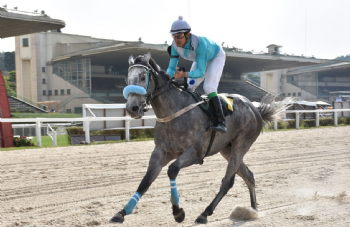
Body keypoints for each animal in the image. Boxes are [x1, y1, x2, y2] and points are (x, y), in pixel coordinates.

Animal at [110, 51, 288, 223]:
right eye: (127, 79)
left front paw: (178, 212)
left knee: (227, 181)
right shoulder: (160, 152)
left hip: (241, 143)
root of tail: (254, 108)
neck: (173, 113)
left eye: (142, 77)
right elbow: (145, 181)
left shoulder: (195, 153)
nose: (132, 108)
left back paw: (205, 213)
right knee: (248, 175)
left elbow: (172, 170)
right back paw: (253, 210)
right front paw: (121, 212)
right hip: (226, 148)